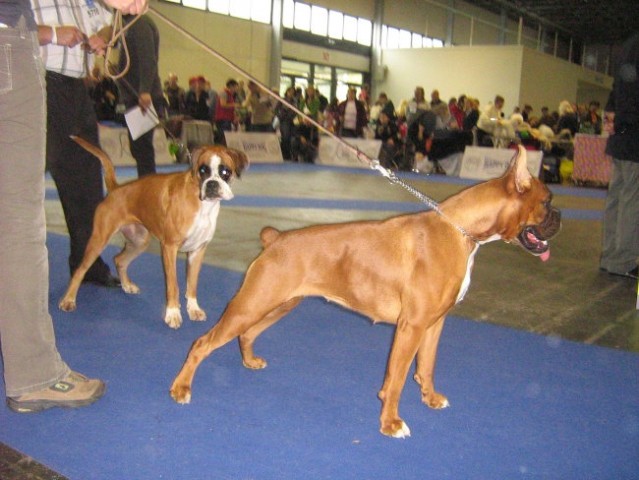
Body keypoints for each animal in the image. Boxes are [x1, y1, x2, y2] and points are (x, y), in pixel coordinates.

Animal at [58, 137, 248, 328]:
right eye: (202, 171)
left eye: (225, 172)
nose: (211, 184)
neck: (202, 204)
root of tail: (116, 189)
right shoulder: (169, 248)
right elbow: (173, 285)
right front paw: (173, 313)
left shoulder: (197, 251)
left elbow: (192, 284)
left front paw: (193, 309)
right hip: (99, 239)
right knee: (80, 270)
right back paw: (68, 300)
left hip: (139, 241)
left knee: (119, 259)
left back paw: (127, 285)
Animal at [170, 144, 560, 436]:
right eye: (547, 202)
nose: (559, 219)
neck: (460, 229)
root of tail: (276, 237)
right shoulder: (411, 327)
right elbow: (397, 377)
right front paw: (391, 422)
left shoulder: (434, 324)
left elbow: (426, 366)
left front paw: (430, 397)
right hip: (251, 303)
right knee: (202, 343)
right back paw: (181, 388)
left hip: (278, 303)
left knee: (247, 333)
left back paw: (249, 361)